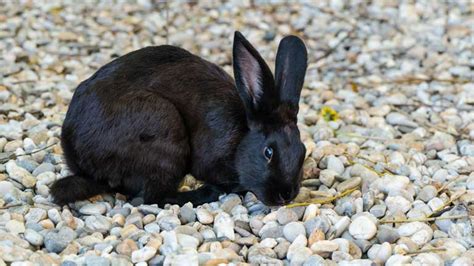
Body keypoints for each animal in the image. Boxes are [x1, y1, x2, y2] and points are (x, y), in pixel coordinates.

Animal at [50, 30, 308, 206]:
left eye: (303, 152)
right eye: (268, 152)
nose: (285, 195)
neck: (241, 138)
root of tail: (84, 166)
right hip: (164, 130)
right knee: (154, 196)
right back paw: (205, 193)